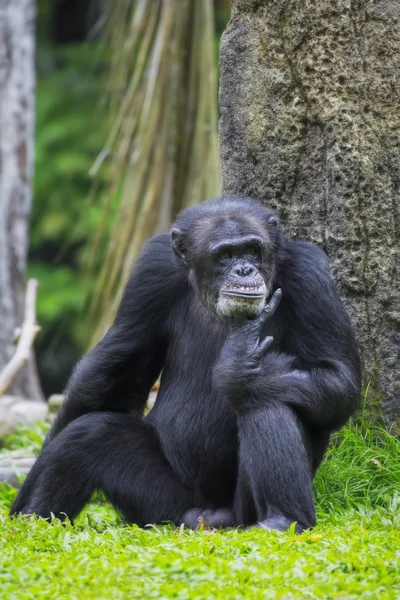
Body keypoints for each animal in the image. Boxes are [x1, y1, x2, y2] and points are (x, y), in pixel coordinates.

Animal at [10, 196, 362, 528]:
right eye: (224, 255)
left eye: (252, 249)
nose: (244, 270)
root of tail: (208, 516)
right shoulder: (151, 271)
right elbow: (113, 372)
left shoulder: (310, 274)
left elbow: (339, 378)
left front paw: (236, 367)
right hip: (164, 506)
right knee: (90, 433)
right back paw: (35, 518)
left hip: (240, 511)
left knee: (265, 398)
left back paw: (283, 518)